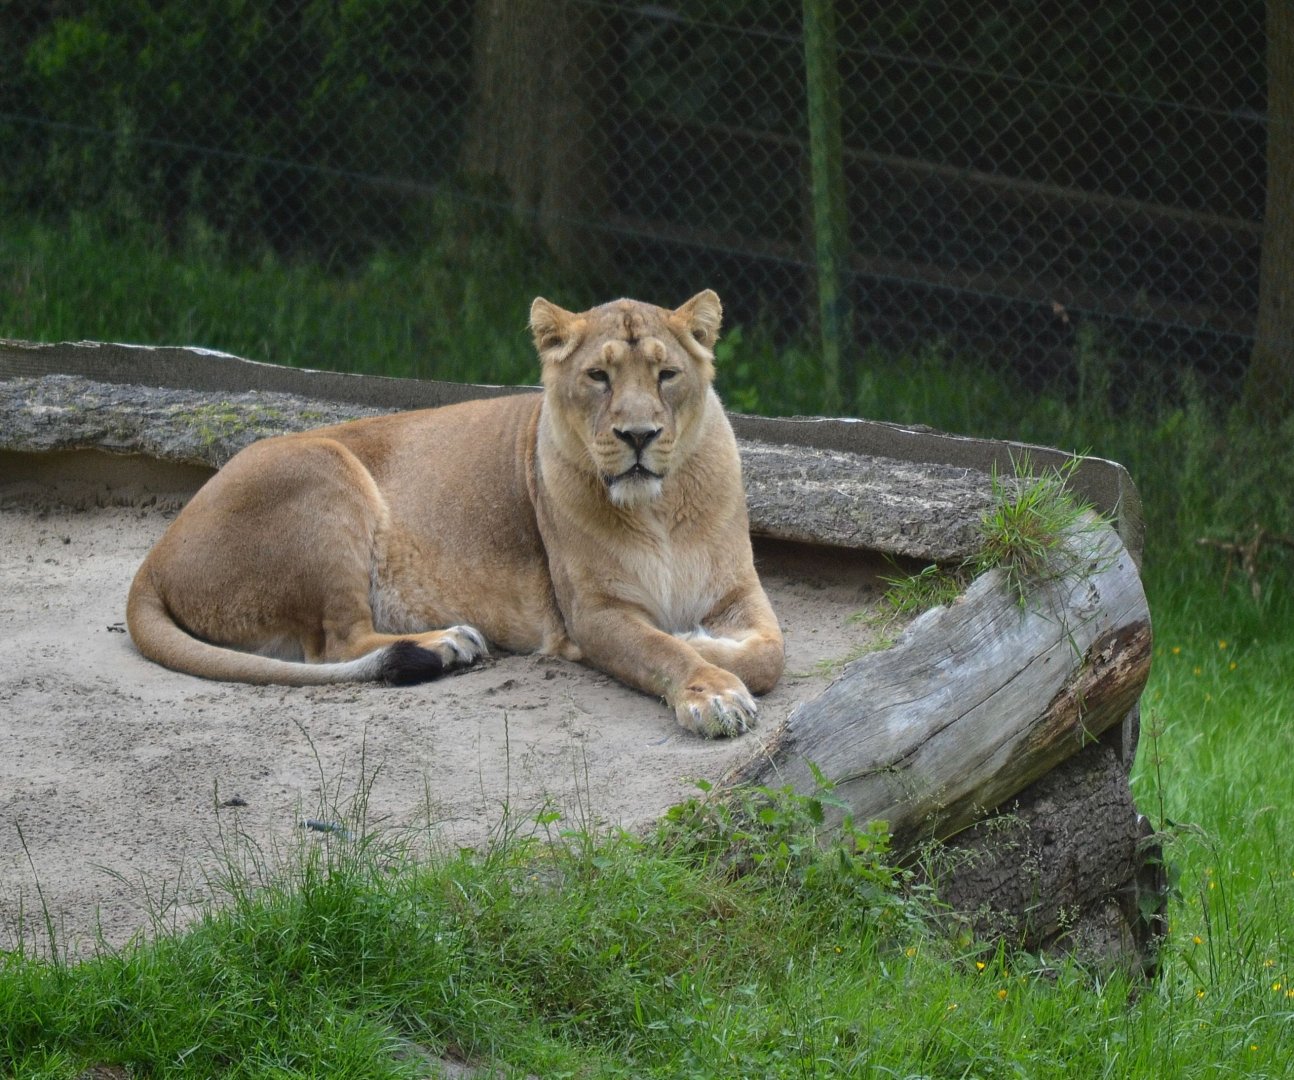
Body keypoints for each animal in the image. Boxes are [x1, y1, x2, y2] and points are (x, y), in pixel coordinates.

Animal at [126, 291, 785, 736]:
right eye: (599, 376)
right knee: (338, 644)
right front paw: (710, 688)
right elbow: (663, 649)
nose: (639, 435)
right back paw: (447, 643)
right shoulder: (593, 613)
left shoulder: (738, 591)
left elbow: (769, 654)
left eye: (666, 374)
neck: (660, 510)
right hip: (321, 468)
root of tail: (153, 560)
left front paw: (709, 645)